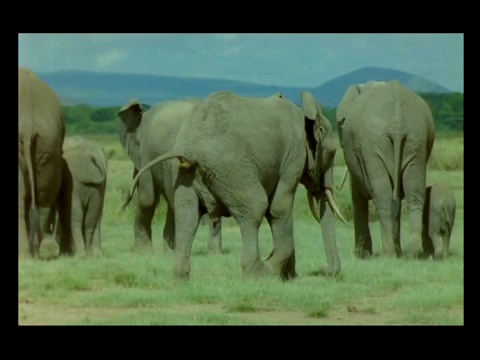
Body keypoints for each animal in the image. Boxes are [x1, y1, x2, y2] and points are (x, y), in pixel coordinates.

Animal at [338, 79, 436, 258]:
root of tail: (397, 120)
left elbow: (357, 195)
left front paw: (361, 255)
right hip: (416, 139)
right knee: (414, 191)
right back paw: (413, 252)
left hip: (373, 142)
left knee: (382, 195)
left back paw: (387, 254)